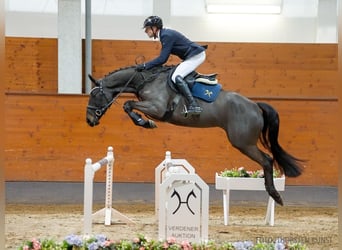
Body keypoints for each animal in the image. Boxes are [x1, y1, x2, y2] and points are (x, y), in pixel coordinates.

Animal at [87, 64, 304, 205]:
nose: (89, 120)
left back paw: (275, 195)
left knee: (267, 160)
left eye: (94, 95)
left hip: (243, 143)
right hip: (244, 143)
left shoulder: (157, 108)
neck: (146, 81)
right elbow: (128, 104)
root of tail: (255, 106)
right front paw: (144, 122)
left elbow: (128, 104)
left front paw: (144, 122)